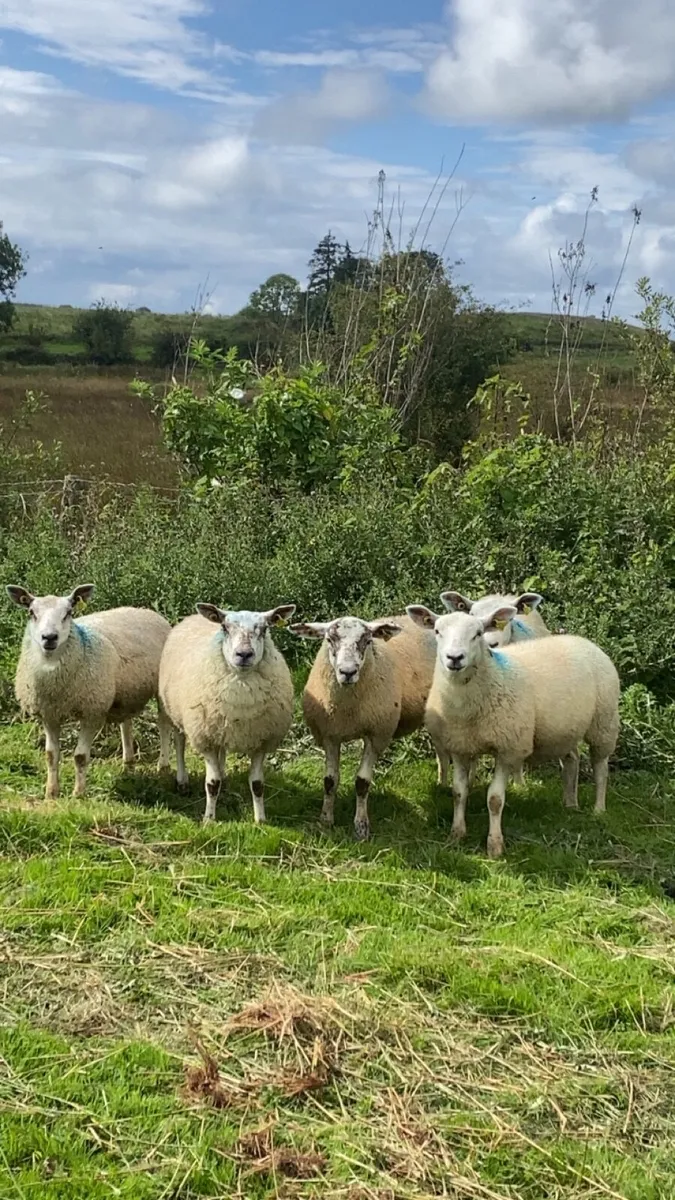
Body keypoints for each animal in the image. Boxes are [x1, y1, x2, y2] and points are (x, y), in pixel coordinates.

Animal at [7, 583, 172, 799]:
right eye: (31, 612)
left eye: (68, 612)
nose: (49, 638)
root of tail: (145, 610)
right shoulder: (49, 714)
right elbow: (51, 755)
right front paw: (51, 793)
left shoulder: (92, 712)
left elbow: (80, 756)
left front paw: (78, 794)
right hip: (123, 693)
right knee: (126, 723)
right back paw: (128, 765)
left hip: (160, 690)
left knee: (163, 725)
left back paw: (163, 767)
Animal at [158, 602, 296, 823]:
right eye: (225, 627)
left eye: (264, 628)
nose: (244, 654)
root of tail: (192, 617)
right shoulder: (206, 738)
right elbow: (212, 783)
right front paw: (209, 819)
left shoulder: (261, 741)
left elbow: (257, 784)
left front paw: (260, 820)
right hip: (176, 711)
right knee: (179, 743)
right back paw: (182, 781)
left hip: (221, 725)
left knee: (221, 752)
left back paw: (223, 775)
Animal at [289, 614, 437, 840]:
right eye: (329, 640)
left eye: (367, 641)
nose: (348, 672)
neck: (348, 711)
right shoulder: (329, 735)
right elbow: (329, 781)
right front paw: (325, 821)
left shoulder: (376, 735)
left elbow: (362, 782)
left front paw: (361, 826)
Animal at [406, 601, 620, 859]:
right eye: (437, 631)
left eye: (478, 633)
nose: (454, 658)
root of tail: (582, 640)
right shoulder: (459, 746)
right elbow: (459, 792)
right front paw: (456, 835)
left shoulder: (507, 748)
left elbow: (495, 799)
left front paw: (495, 845)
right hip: (564, 729)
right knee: (572, 759)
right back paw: (570, 803)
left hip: (604, 721)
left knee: (601, 768)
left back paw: (598, 809)